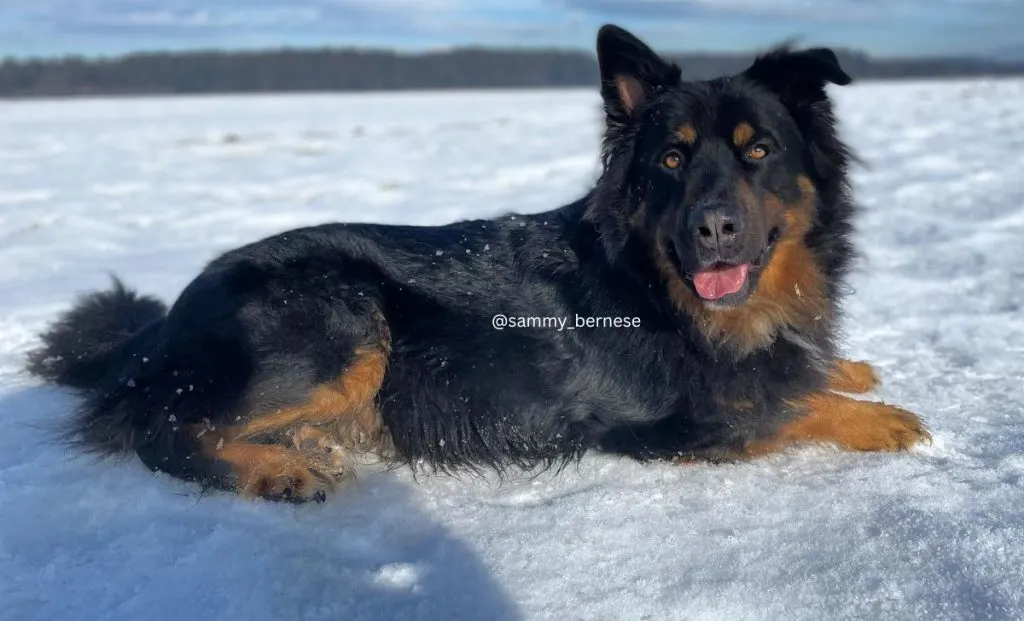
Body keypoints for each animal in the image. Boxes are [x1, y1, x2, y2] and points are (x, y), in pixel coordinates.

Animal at [29, 25, 929, 506]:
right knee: (163, 428)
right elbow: (785, 409)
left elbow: (799, 372)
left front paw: (846, 366)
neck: (662, 283)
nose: (714, 228)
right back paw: (278, 469)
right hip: (344, 316)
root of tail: (166, 322)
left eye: (759, 152)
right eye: (672, 160)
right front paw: (882, 417)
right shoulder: (668, 423)